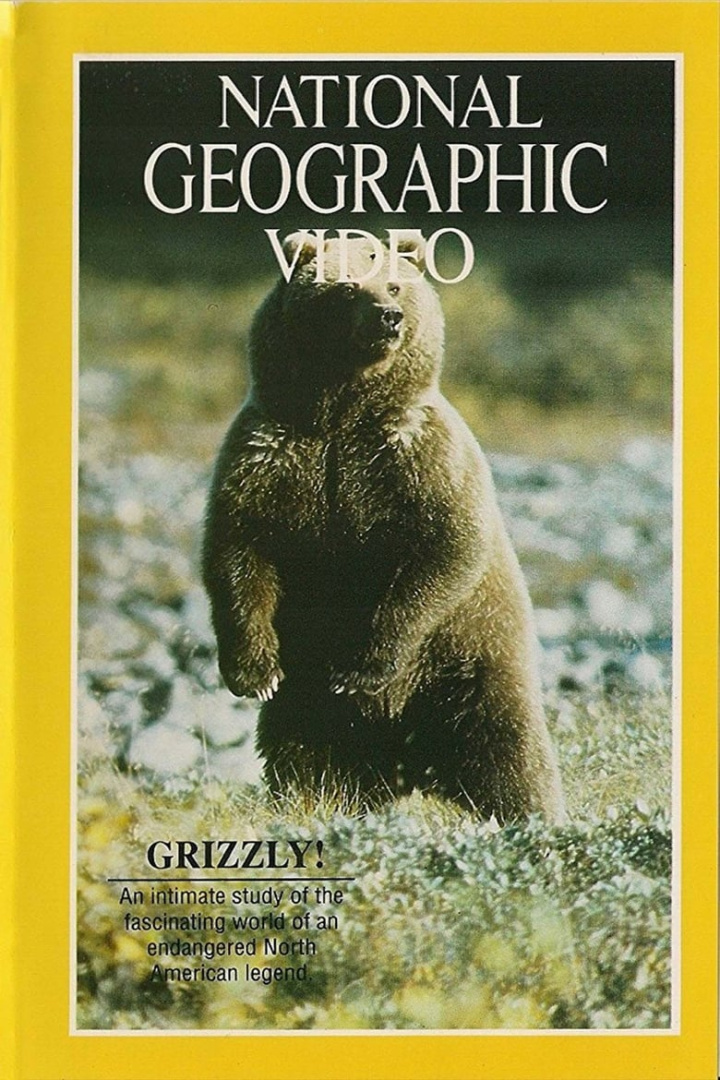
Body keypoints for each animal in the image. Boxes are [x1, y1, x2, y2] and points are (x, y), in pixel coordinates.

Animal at [202, 230, 565, 823]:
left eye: (394, 284)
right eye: (347, 286)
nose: (388, 317)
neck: (339, 414)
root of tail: (409, 765)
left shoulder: (416, 457)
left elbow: (444, 549)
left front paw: (361, 670)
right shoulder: (272, 454)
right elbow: (239, 548)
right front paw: (256, 672)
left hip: (470, 661)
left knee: (507, 749)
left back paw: (528, 813)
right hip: (311, 705)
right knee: (303, 753)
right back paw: (314, 802)